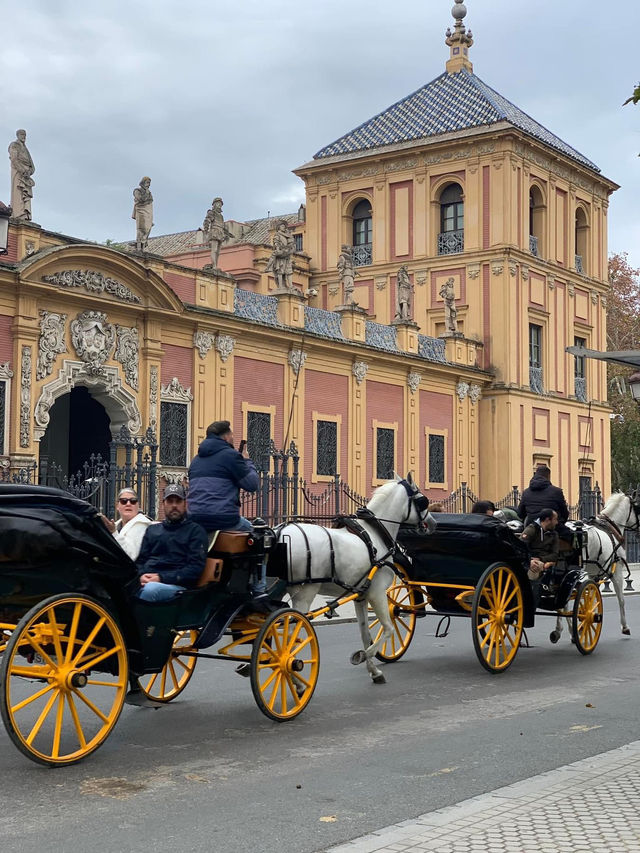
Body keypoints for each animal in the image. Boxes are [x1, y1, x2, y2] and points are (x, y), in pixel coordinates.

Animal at [278, 472, 432, 684]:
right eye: (422, 500)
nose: (433, 523)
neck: (375, 534)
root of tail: (280, 534)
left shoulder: (360, 595)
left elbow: (365, 633)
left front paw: (374, 670)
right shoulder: (377, 593)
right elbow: (388, 628)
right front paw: (362, 656)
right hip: (304, 594)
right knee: (289, 638)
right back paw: (294, 679)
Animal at [552, 492, 640, 640]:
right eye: (638, 508)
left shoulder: (593, 575)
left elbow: (591, 599)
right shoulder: (616, 573)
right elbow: (621, 599)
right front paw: (625, 627)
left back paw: (562, 630)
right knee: (565, 601)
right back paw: (567, 630)